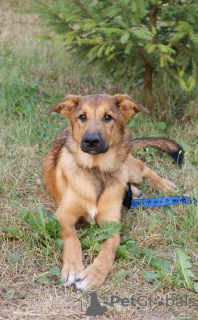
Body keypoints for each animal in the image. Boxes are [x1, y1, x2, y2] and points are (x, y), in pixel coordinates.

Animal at [43, 94, 183, 292]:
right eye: (82, 117)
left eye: (108, 117)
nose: (91, 141)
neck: (97, 170)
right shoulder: (63, 215)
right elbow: (72, 239)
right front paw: (72, 268)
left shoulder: (111, 225)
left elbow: (108, 252)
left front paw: (93, 275)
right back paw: (135, 191)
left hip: (130, 167)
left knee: (145, 169)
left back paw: (165, 185)